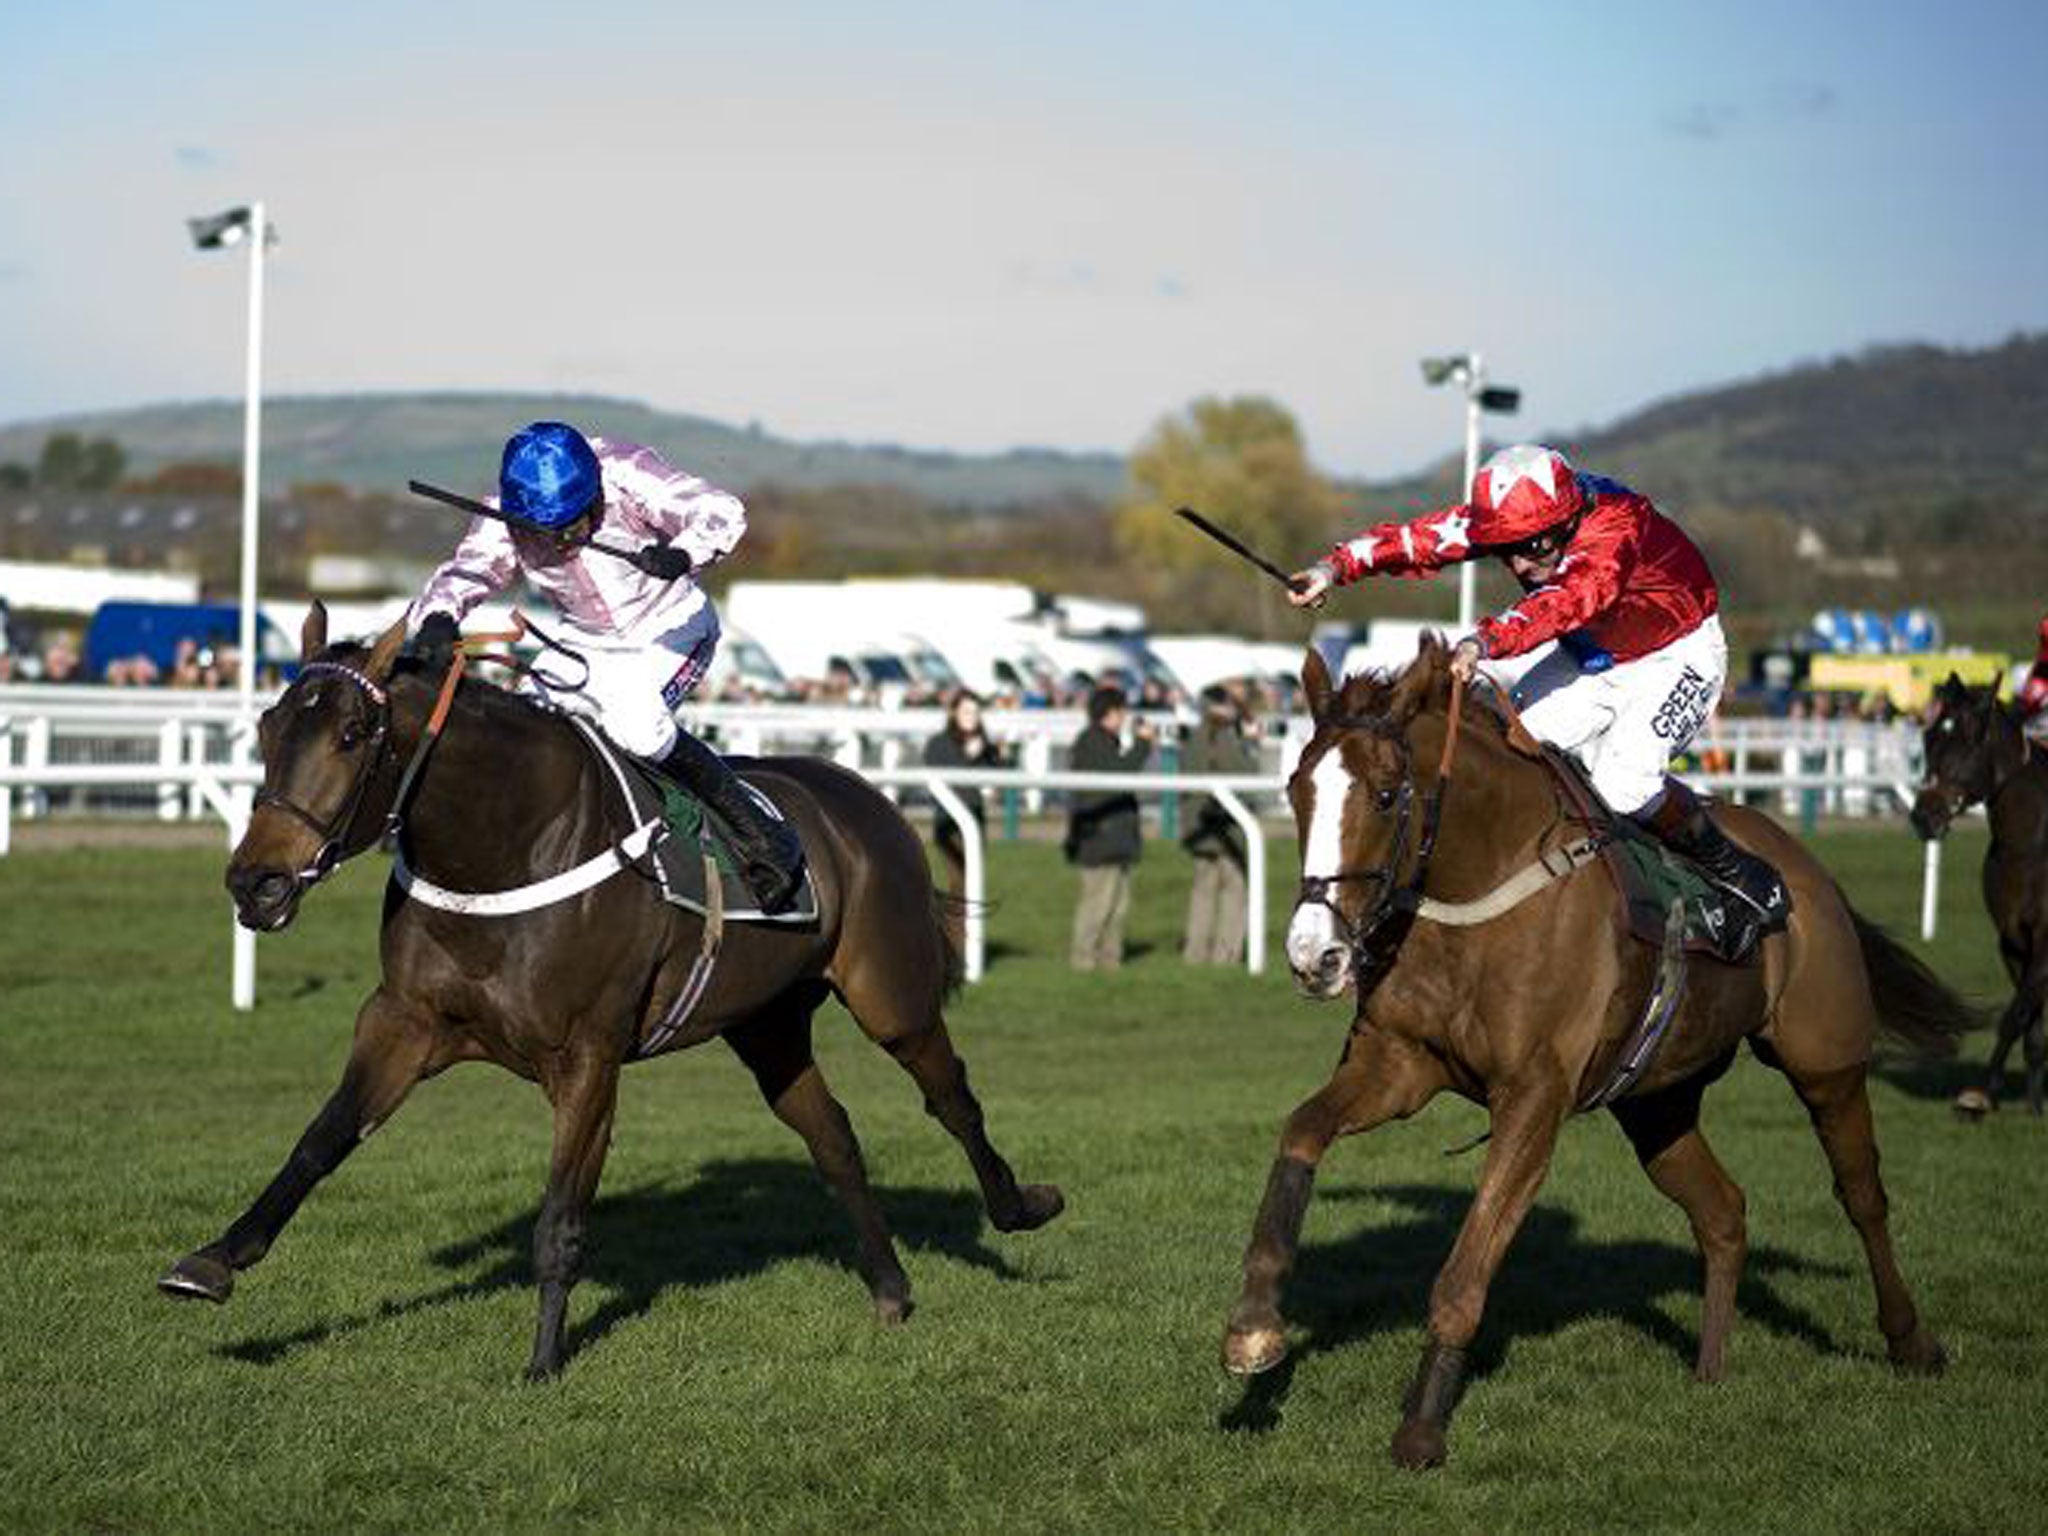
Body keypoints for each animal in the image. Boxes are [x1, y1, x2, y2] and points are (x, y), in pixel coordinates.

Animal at [159, 606, 1064, 1384]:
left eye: (352, 736)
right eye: (267, 730)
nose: (256, 883)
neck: (504, 849)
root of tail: (867, 797)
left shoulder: (587, 1054)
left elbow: (561, 1215)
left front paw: (542, 1361)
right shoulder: (403, 1022)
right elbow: (320, 1141)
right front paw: (213, 1261)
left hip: (892, 996)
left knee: (952, 1098)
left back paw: (1020, 1208)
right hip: (767, 1024)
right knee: (833, 1135)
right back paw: (890, 1286)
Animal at [1220, 643, 1974, 1474]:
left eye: (1386, 796)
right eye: (1295, 791)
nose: (1313, 956)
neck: (1478, 889)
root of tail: (1803, 868)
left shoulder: (1532, 1099)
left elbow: (1466, 1268)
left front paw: (1421, 1427)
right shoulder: (1397, 1066)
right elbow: (1300, 1134)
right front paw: (1253, 1329)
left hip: (1825, 1062)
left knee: (1862, 1195)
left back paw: (1911, 1340)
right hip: (1657, 1103)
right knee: (1723, 1211)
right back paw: (1711, 1370)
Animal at [1900, 679, 2048, 1114]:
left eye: (1971, 740)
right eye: (1929, 736)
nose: (1924, 817)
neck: (2030, 844)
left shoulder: (2046, 941)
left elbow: (2014, 1017)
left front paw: (1980, 1095)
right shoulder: (2013, 941)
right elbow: (2031, 1024)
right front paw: (2034, 1105)